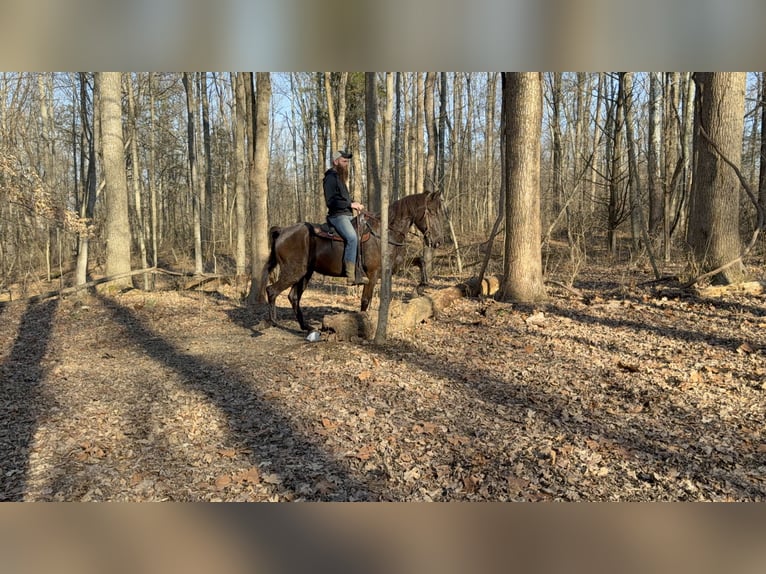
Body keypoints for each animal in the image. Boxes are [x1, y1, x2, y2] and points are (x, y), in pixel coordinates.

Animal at [263, 191, 445, 331]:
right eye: (432, 212)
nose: (438, 241)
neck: (384, 234)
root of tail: (282, 231)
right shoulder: (372, 274)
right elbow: (365, 300)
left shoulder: (394, 266)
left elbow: (421, 261)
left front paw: (421, 287)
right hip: (294, 272)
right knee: (272, 290)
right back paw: (273, 322)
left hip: (305, 274)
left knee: (293, 297)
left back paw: (305, 327)